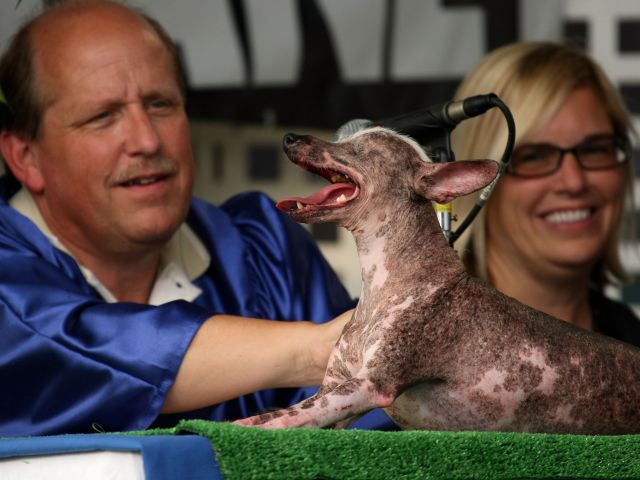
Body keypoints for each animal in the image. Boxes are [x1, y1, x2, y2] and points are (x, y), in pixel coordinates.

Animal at [234, 125, 640, 434]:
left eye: (360, 148)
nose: (289, 137)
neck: (382, 288)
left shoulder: (370, 384)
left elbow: (284, 414)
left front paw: (241, 424)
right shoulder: (335, 387)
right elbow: (302, 414)